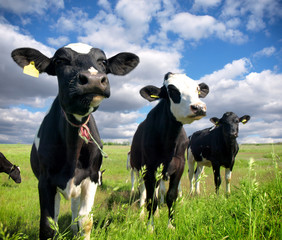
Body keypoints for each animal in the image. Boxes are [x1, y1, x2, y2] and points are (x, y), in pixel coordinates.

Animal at [11, 43, 139, 240]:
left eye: (103, 62)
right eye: (60, 61)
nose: (94, 79)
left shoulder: (91, 177)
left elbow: (85, 221)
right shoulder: (45, 181)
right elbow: (48, 225)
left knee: (74, 208)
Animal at [129, 72, 208, 228]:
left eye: (197, 89)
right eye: (172, 90)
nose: (199, 107)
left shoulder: (179, 165)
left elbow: (171, 196)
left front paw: (170, 226)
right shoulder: (149, 167)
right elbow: (151, 199)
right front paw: (150, 227)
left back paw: (157, 214)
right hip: (138, 170)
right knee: (142, 191)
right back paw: (142, 214)